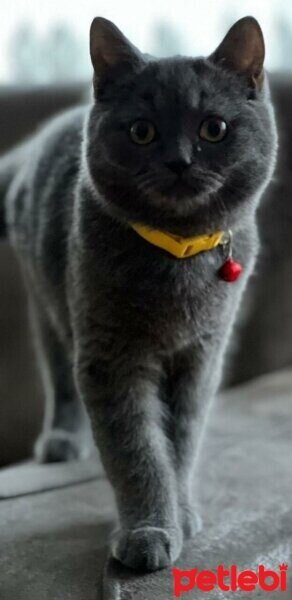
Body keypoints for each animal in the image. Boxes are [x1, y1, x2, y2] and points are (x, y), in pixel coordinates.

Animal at [0, 17, 278, 572]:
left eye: (214, 129)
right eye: (141, 131)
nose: (179, 161)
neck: (177, 254)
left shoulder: (201, 358)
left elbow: (181, 441)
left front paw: (182, 513)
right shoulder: (111, 359)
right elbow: (137, 450)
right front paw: (148, 531)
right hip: (50, 303)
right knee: (59, 374)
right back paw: (63, 441)